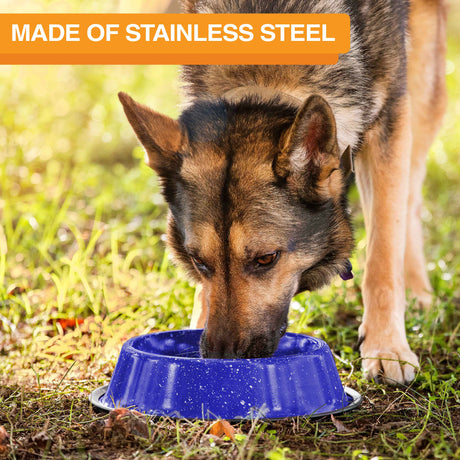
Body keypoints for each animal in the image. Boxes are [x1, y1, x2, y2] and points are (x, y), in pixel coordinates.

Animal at [117, 0, 446, 384]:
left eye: (266, 259)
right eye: (199, 262)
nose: (222, 358)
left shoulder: (391, 115)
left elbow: (383, 253)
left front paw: (386, 346)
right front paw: (196, 322)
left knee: (410, 197)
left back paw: (417, 290)